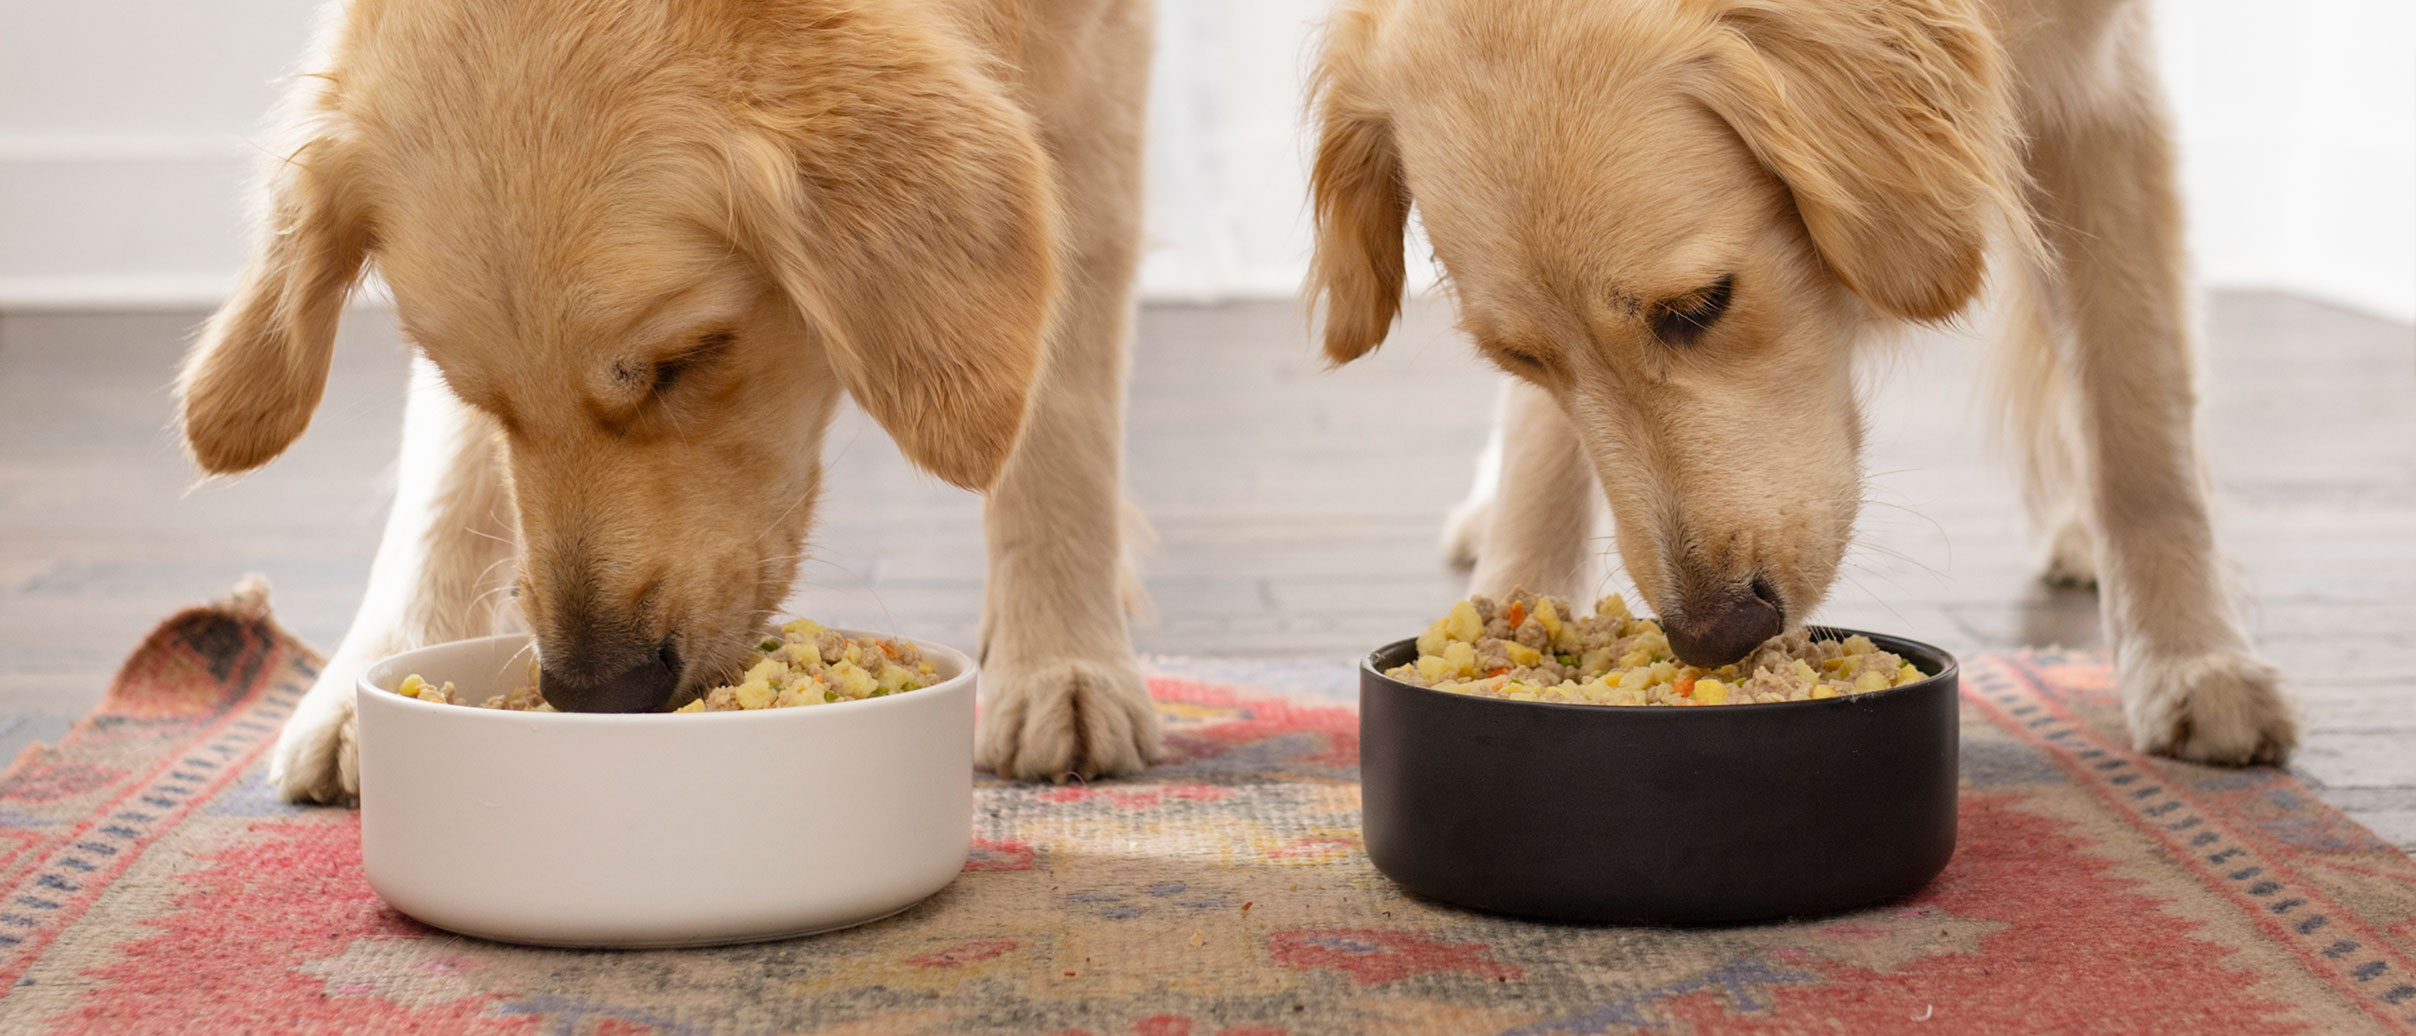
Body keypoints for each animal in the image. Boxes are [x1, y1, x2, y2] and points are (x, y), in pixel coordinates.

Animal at [178, 0, 1159, 801]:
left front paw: (1063, 660)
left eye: (683, 360)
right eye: (480, 394)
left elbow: (1062, 396)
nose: (596, 693)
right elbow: (448, 480)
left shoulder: (1093, 59)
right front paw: (371, 675)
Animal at [1314, 0, 2290, 758]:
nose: (1713, 634)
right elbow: (1544, 444)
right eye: (1519, 357)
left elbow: (2138, 416)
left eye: (1701, 305)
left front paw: (2195, 660)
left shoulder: (2099, 91)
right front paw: (1514, 597)